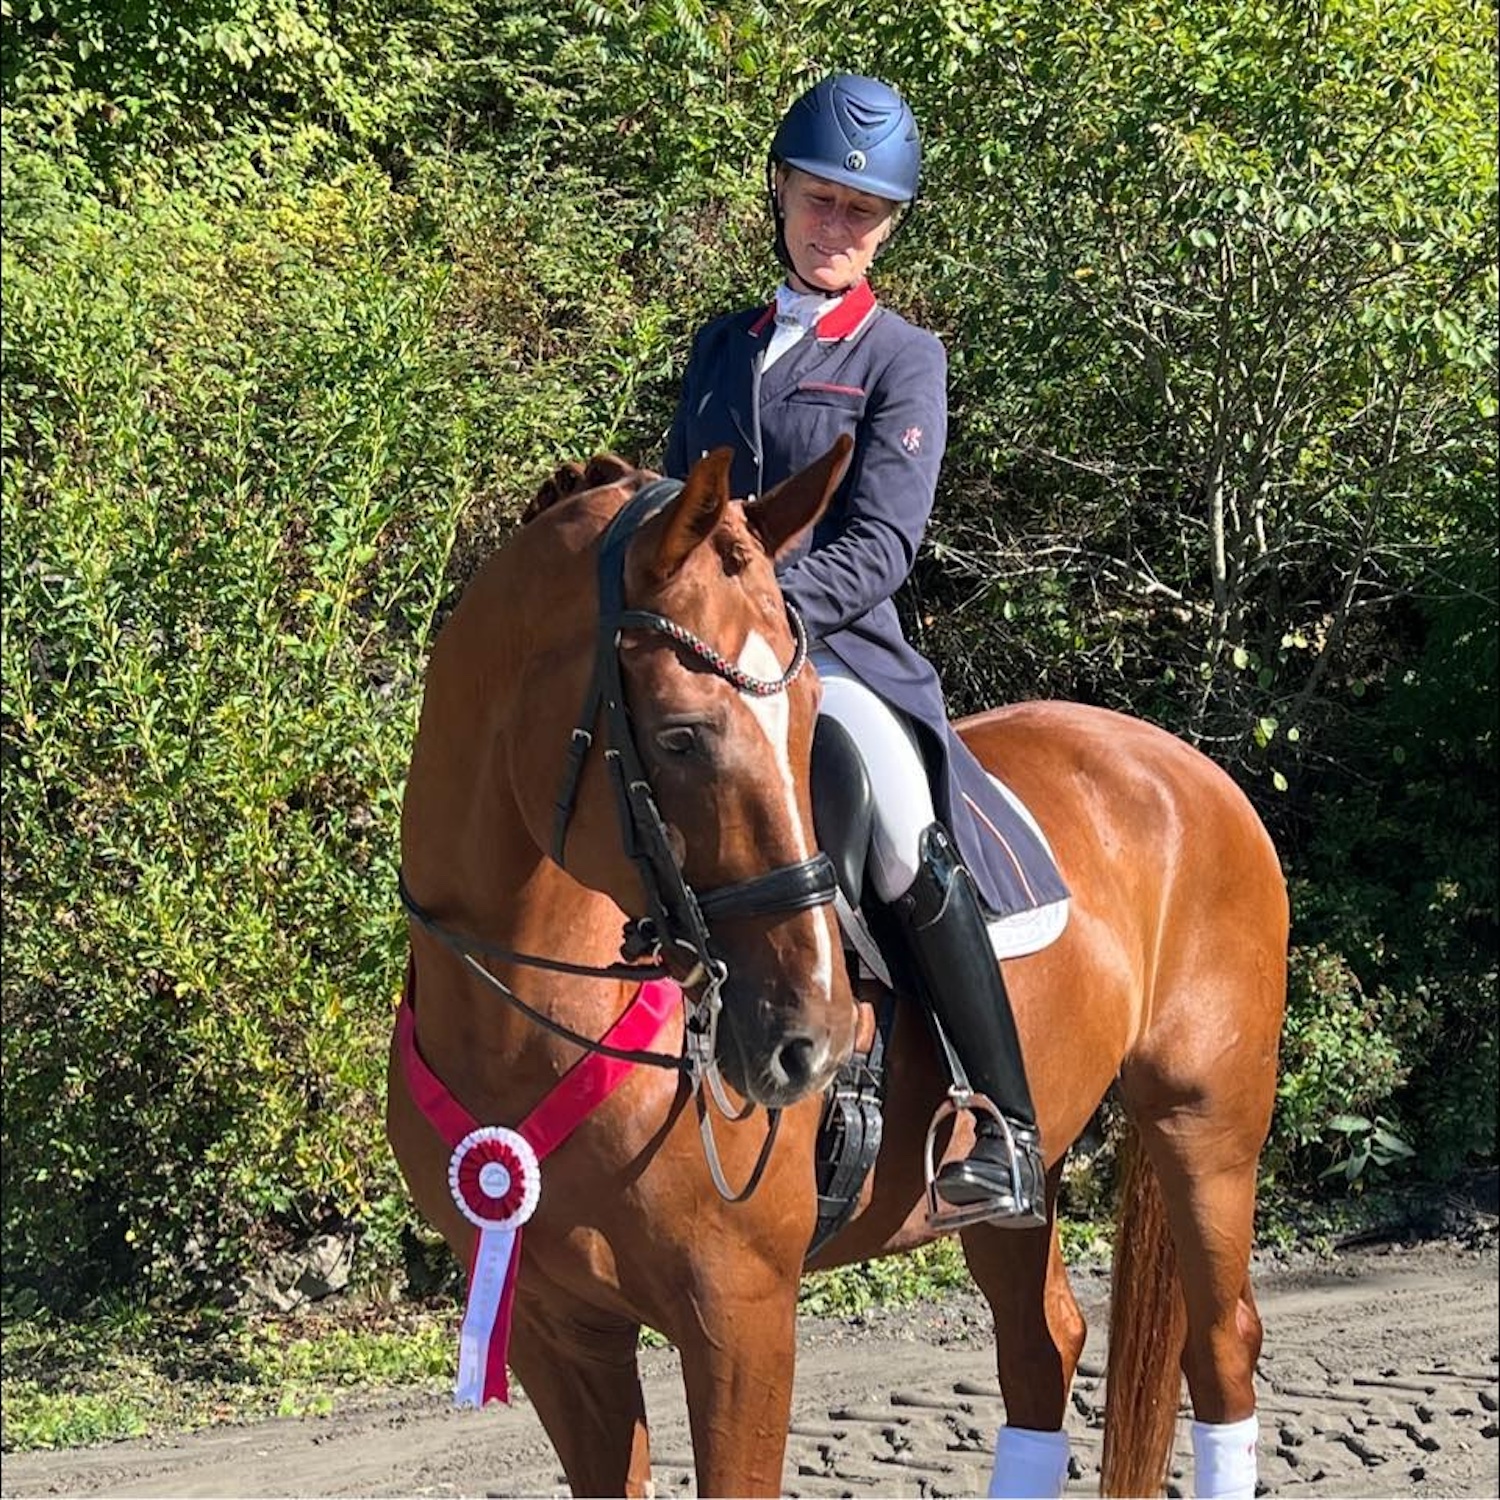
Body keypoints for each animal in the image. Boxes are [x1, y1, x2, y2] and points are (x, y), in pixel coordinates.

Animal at [387, 438, 1290, 1494]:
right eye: (683, 734)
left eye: (810, 713)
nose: (805, 1044)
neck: (530, 1021)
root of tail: (1185, 766)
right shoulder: (552, 1329)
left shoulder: (739, 1316)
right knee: (1042, 1346)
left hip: (1205, 1127)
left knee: (1221, 1347)